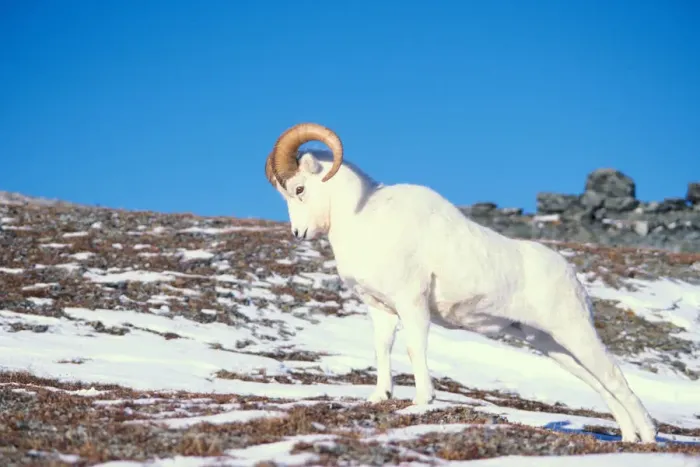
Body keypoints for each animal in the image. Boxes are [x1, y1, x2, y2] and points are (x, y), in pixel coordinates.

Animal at [263, 122, 658, 443]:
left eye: (300, 189)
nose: (299, 233)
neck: (365, 219)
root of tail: (570, 275)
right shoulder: (381, 310)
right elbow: (382, 349)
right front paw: (380, 398)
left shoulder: (412, 304)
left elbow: (414, 349)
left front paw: (421, 403)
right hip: (550, 344)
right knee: (600, 384)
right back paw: (629, 437)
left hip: (574, 331)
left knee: (613, 374)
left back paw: (650, 437)